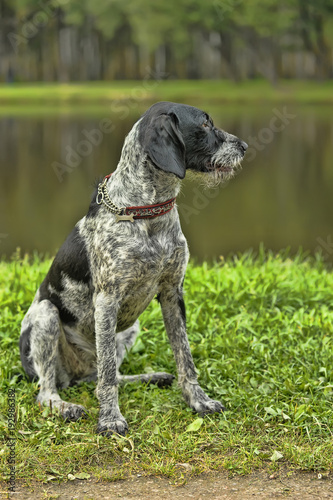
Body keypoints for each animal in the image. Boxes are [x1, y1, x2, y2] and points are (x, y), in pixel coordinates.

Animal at [18, 101, 246, 434]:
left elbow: (185, 358)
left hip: (128, 329)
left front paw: (198, 401)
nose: (244, 146)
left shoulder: (172, 293)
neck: (148, 211)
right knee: (51, 391)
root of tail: (77, 374)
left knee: (105, 374)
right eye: (205, 124)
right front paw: (110, 418)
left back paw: (150, 377)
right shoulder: (107, 301)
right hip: (46, 315)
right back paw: (66, 407)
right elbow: (108, 379)